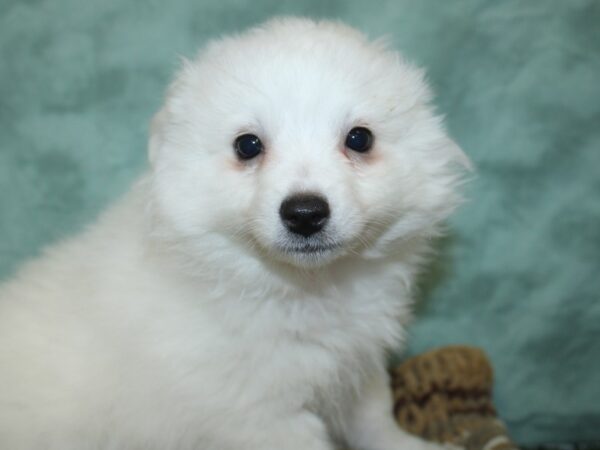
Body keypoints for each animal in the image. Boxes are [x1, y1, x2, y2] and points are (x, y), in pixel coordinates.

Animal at [0, 17, 468, 450]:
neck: (306, 289)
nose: (305, 213)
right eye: (247, 146)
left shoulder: (357, 367)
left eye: (359, 138)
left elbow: (376, 418)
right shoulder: (262, 416)